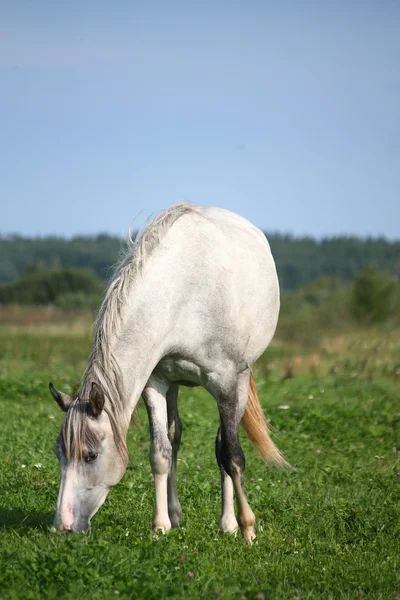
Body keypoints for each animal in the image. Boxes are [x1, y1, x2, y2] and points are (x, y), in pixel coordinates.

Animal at [49, 203, 288, 544]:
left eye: (90, 456)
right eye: (58, 453)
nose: (64, 526)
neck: (182, 296)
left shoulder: (227, 384)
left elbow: (232, 456)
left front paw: (247, 528)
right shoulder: (156, 383)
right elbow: (160, 453)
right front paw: (160, 524)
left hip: (239, 384)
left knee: (223, 448)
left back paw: (229, 523)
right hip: (176, 384)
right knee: (175, 438)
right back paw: (176, 515)